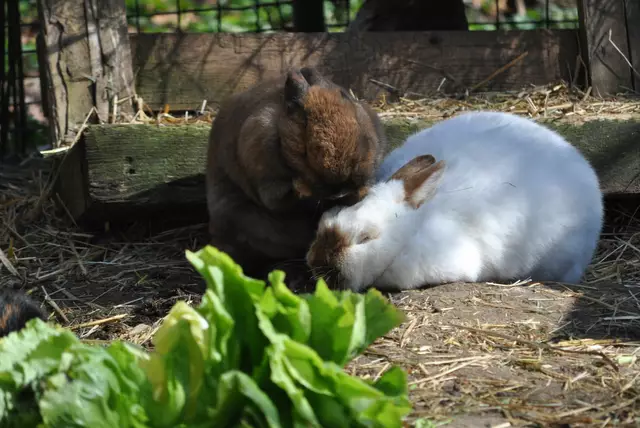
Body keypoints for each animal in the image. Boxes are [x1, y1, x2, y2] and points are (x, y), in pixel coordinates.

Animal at [206, 67, 387, 288]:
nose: (339, 191)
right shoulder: (265, 176)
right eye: (305, 151)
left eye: (346, 98)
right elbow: (278, 198)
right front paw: (301, 190)